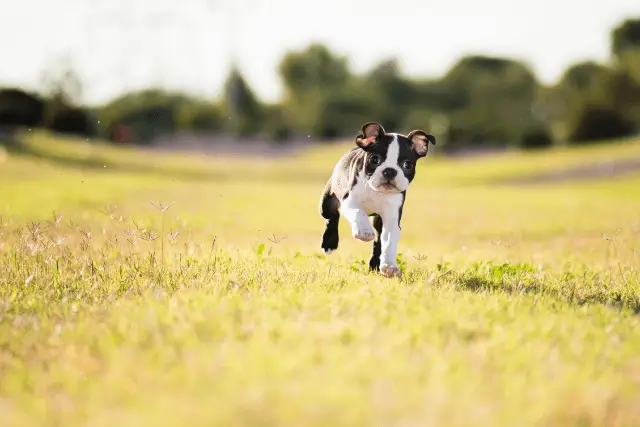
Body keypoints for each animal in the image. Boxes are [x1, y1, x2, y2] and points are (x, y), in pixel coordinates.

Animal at [318, 122, 436, 280]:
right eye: (374, 159)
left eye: (408, 164)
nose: (390, 171)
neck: (377, 192)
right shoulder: (349, 201)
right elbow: (358, 212)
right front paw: (364, 231)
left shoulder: (391, 219)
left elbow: (389, 241)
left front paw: (390, 266)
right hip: (327, 202)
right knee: (333, 215)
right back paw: (329, 243)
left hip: (378, 221)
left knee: (378, 240)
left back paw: (375, 264)